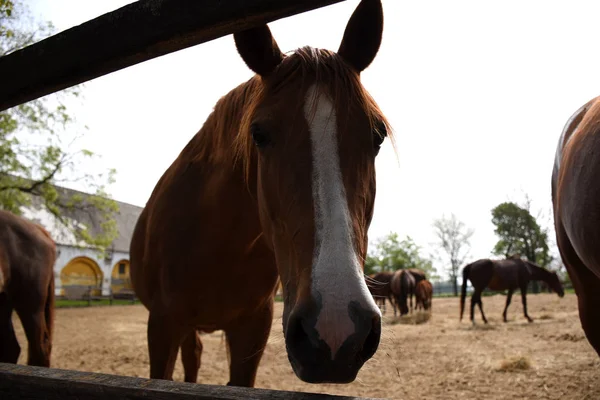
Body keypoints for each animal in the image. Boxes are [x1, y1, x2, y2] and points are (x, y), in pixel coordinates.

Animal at [129, 0, 392, 388]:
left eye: (377, 136)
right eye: (258, 134)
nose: (336, 329)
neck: (216, 244)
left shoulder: (252, 330)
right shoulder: (162, 325)